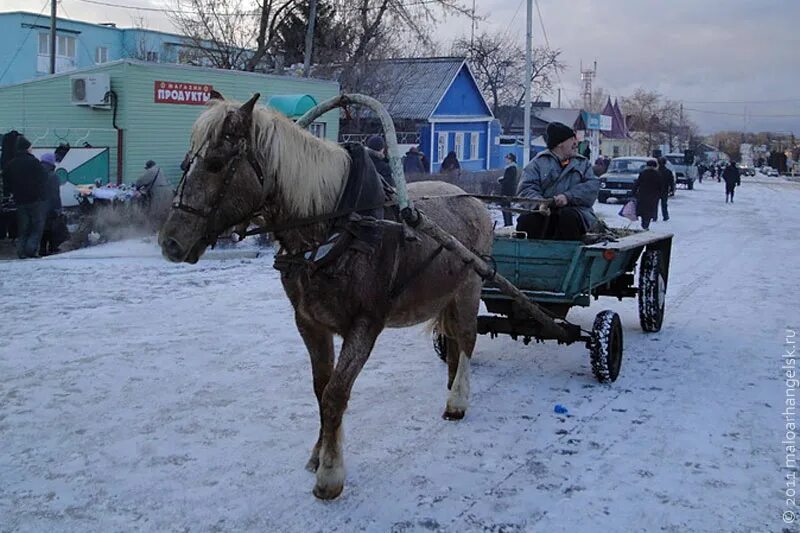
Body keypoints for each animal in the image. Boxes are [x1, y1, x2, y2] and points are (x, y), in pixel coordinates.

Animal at [159, 92, 490, 498]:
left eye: (216, 164)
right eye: (185, 163)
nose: (170, 242)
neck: (339, 228)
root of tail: (472, 200)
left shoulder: (365, 325)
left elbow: (336, 394)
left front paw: (330, 474)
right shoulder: (310, 322)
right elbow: (321, 389)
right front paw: (318, 454)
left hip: (470, 288)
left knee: (467, 338)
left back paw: (457, 399)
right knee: (454, 340)